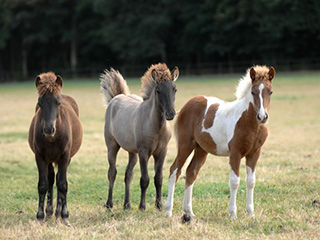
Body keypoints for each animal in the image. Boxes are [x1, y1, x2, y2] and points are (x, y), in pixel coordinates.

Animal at [165, 64, 276, 218]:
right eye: (253, 92)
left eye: (270, 92)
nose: (262, 116)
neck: (249, 122)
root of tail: (186, 106)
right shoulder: (235, 153)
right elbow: (234, 181)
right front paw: (233, 214)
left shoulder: (254, 153)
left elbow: (251, 181)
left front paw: (250, 213)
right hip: (185, 145)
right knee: (174, 171)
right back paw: (168, 211)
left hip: (201, 149)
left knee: (191, 172)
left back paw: (189, 212)